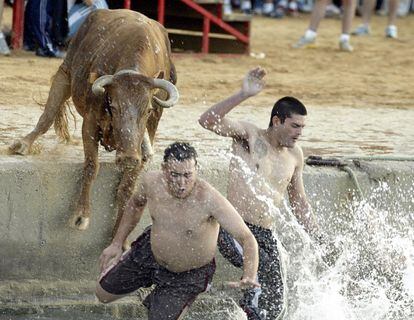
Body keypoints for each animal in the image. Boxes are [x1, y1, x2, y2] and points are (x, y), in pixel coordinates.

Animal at [9, 9, 178, 235]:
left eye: (148, 110)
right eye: (113, 106)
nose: (127, 158)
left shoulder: (146, 137)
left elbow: (127, 188)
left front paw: (118, 236)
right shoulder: (89, 123)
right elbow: (91, 165)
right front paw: (81, 215)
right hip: (65, 72)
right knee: (48, 114)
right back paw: (23, 144)